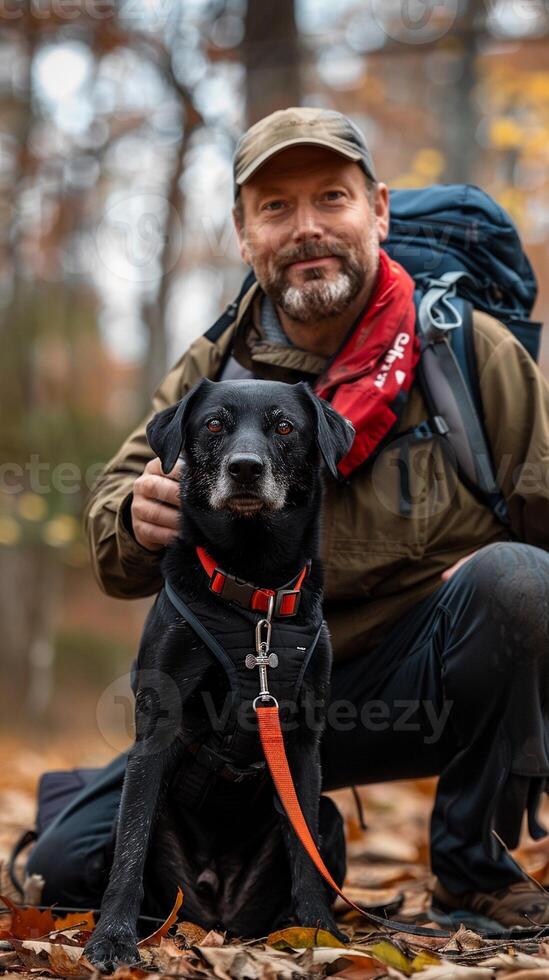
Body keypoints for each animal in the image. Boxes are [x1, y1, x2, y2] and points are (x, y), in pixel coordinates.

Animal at [83, 378, 354, 968]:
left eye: (284, 427)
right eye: (213, 425)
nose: (246, 468)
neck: (253, 593)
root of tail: (218, 914)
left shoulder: (302, 742)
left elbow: (305, 851)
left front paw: (318, 931)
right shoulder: (156, 732)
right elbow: (131, 849)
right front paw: (111, 939)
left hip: (332, 820)